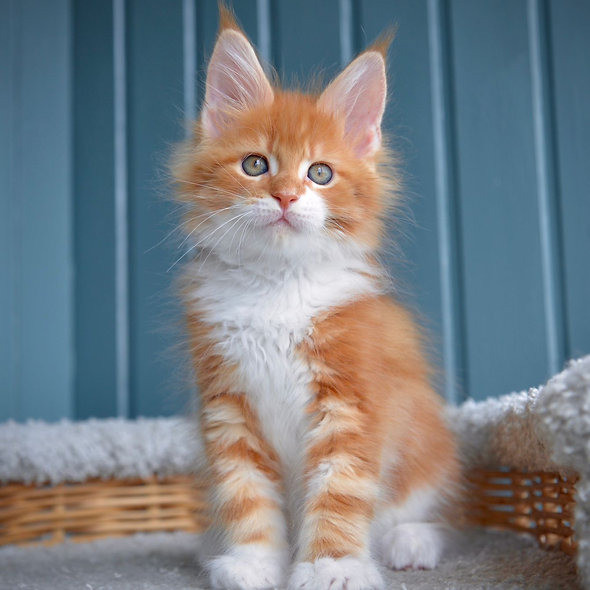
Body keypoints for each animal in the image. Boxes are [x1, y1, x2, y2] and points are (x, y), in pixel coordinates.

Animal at [173, 8, 460, 590]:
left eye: (320, 173)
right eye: (255, 165)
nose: (285, 196)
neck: (276, 289)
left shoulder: (353, 400)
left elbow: (339, 491)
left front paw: (332, 566)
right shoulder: (228, 407)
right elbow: (246, 493)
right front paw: (253, 562)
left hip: (424, 443)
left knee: (423, 509)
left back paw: (410, 542)